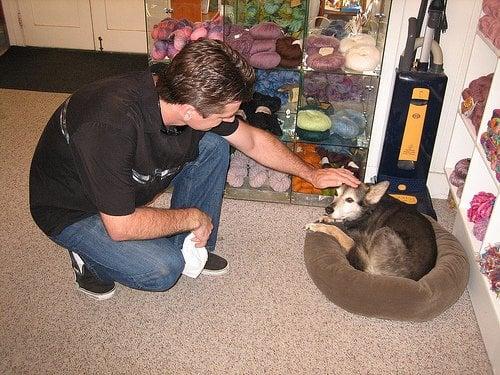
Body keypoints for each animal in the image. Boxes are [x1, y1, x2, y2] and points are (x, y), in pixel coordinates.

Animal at [304, 182, 438, 282]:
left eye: (349, 200)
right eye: (336, 193)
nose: (328, 209)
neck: (367, 211)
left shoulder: (351, 238)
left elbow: (336, 229)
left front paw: (318, 225)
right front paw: (326, 218)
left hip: (383, 232)